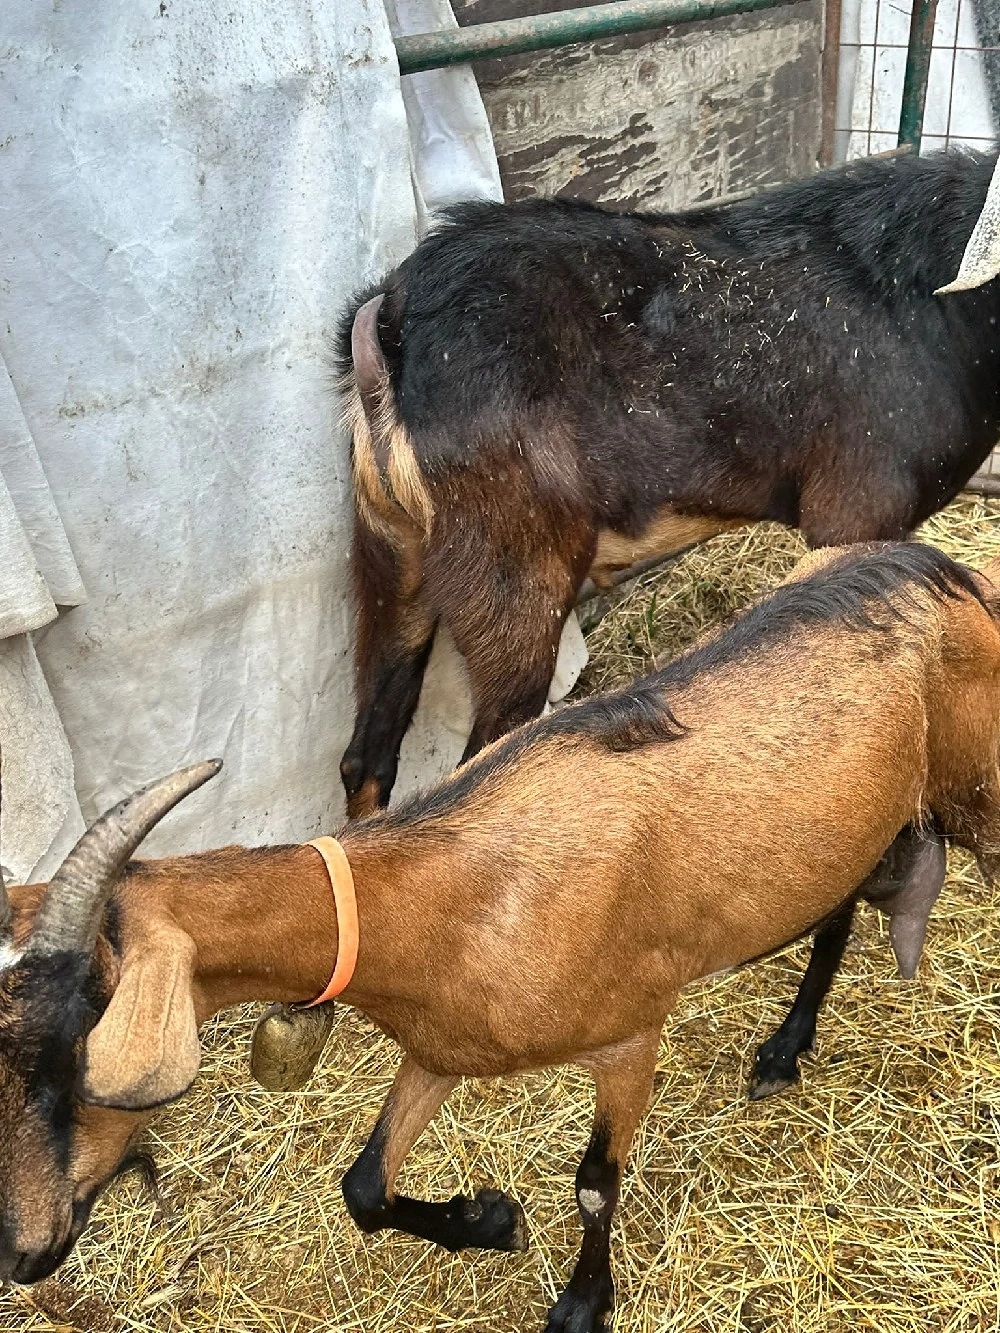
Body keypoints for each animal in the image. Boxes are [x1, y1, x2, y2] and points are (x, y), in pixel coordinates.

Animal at [1, 542, 999, 1333]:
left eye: (69, 1047)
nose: (18, 1251)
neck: (452, 895)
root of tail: (938, 565)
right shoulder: (443, 1043)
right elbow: (364, 1184)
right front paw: (491, 1219)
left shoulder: (630, 1033)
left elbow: (594, 1183)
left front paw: (581, 1306)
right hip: (856, 827)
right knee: (836, 913)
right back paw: (785, 1050)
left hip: (978, 787)